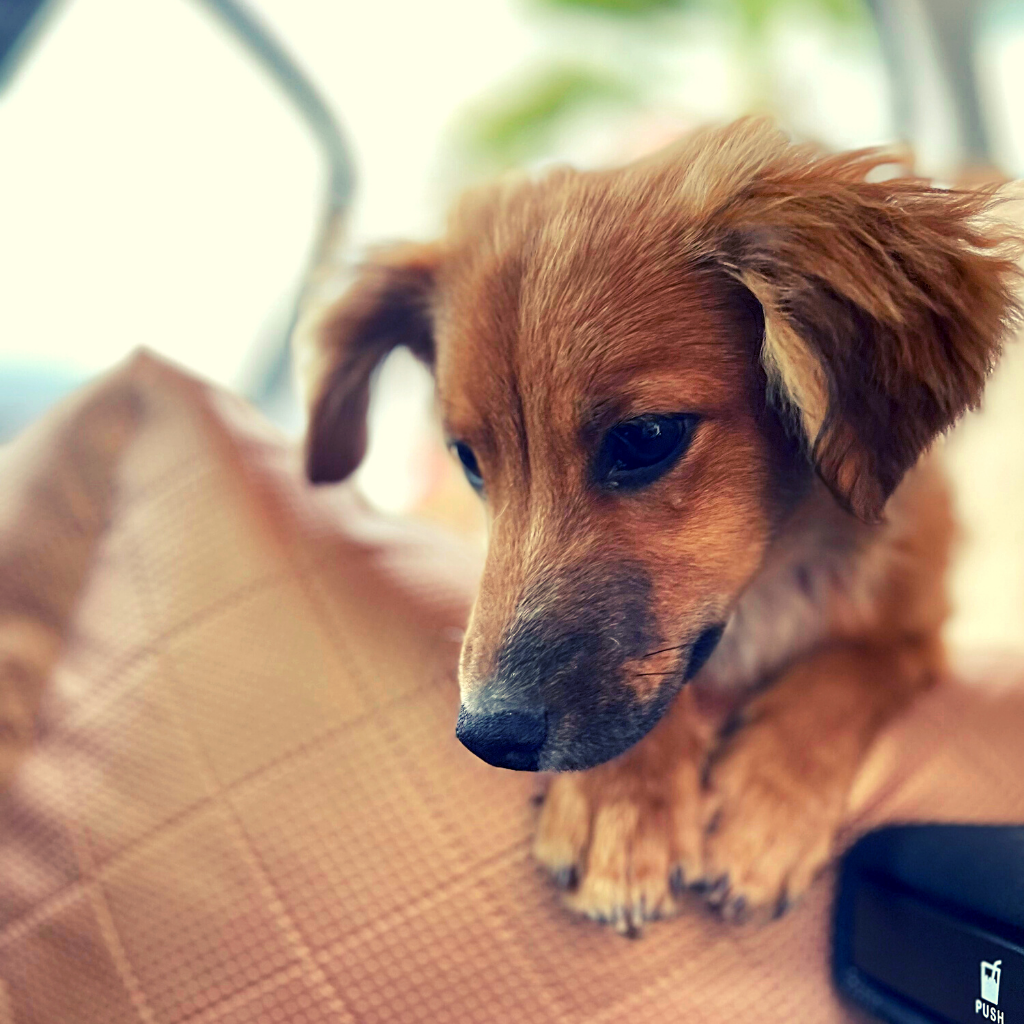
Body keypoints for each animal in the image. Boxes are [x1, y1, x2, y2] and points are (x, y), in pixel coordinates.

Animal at [299, 117, 1019, 929]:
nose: (488, 738)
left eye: (646, 438)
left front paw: (768, 806)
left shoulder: (914, 627)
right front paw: (620, 801)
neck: (773, 576)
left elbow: (847, 671)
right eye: (469, 459)